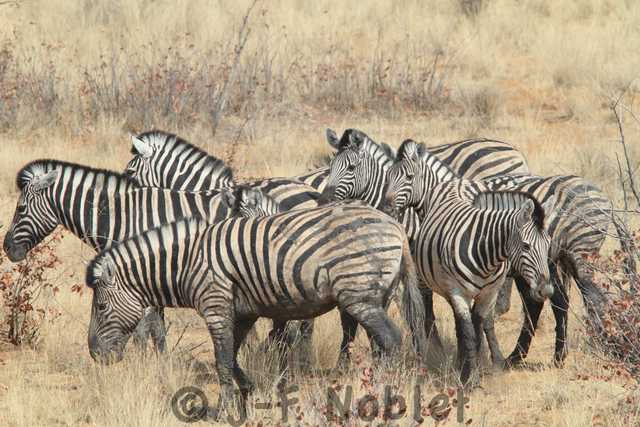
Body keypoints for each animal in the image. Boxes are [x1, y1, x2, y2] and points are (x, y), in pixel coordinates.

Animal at [2, 159, 318, 353]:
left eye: (20, 209)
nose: (7, 249)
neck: (122, 216)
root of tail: (309, 189)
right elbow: (157, 326)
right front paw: (160, 358)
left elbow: (146, 326)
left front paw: (144, 361)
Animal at [85, 201, 429, 411]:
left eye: (100, 308)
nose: (95, 355)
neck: (187, 262)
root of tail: (396, 227)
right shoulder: (243, 313)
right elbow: (233, 356)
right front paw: (247, 390)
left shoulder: (216, 306)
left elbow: (222, 359)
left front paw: (223, 409)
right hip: (376, 297)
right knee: (381, 342)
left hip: (359, 296)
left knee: (392, 339)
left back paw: (381, 392)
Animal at [383, 141, 556, 385]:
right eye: (526, 246)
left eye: (547, 244)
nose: (546, 290)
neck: (488, 254)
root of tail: (456, 183)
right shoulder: (456, 292)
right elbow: (467, 330)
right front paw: (469, 376)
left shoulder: (489, 293)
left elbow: (478, 326)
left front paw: (478, 368)